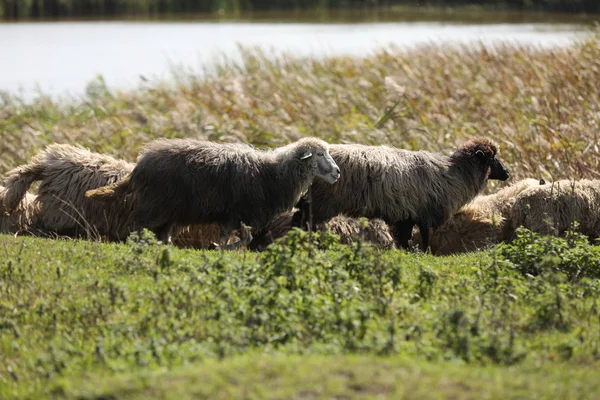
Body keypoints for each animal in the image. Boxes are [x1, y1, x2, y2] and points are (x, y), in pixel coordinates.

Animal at [85, 137, 340, 247]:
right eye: (319, 154)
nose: (337, 172)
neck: (274, 174)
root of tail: (140, 166)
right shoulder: (236, 213)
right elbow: (235, 238)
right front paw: (220, 248)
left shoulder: (237, 216)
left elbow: (241, 238)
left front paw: (221, 247)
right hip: (155, 206)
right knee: (137, 227)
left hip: (169, 211)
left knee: (161, 234)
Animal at [290, 138, 506, 250]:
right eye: (492, 158)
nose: (507, 173)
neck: (454, 173)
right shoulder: (425, 214)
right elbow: (424, 240)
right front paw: (424, 253)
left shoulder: (406, 216)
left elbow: (405, 240)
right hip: (322, 201)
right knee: (303, 221)